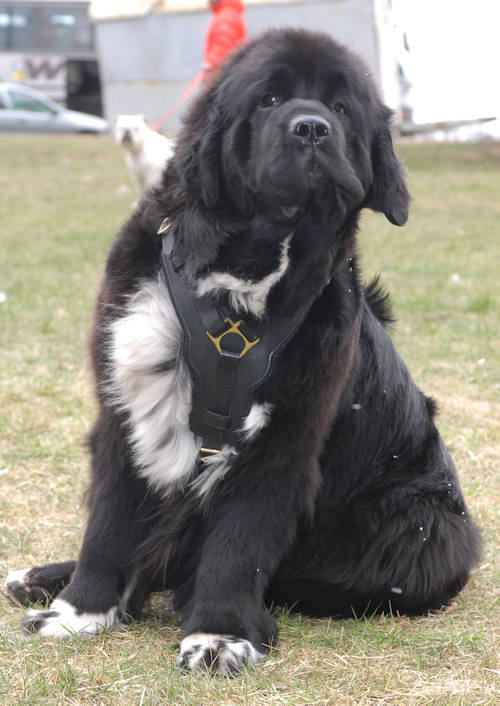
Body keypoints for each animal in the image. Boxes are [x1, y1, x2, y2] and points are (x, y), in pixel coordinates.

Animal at [4, 30, 480, 672]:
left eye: (343, 108)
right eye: (269, 99)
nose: (312, 128)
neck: (240, 280)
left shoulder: (286, 436)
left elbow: (239, 540)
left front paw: (219, 634)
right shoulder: (123, 404)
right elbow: (109, 523)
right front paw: (77, 613)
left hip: (424, 526)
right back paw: (40, 578)